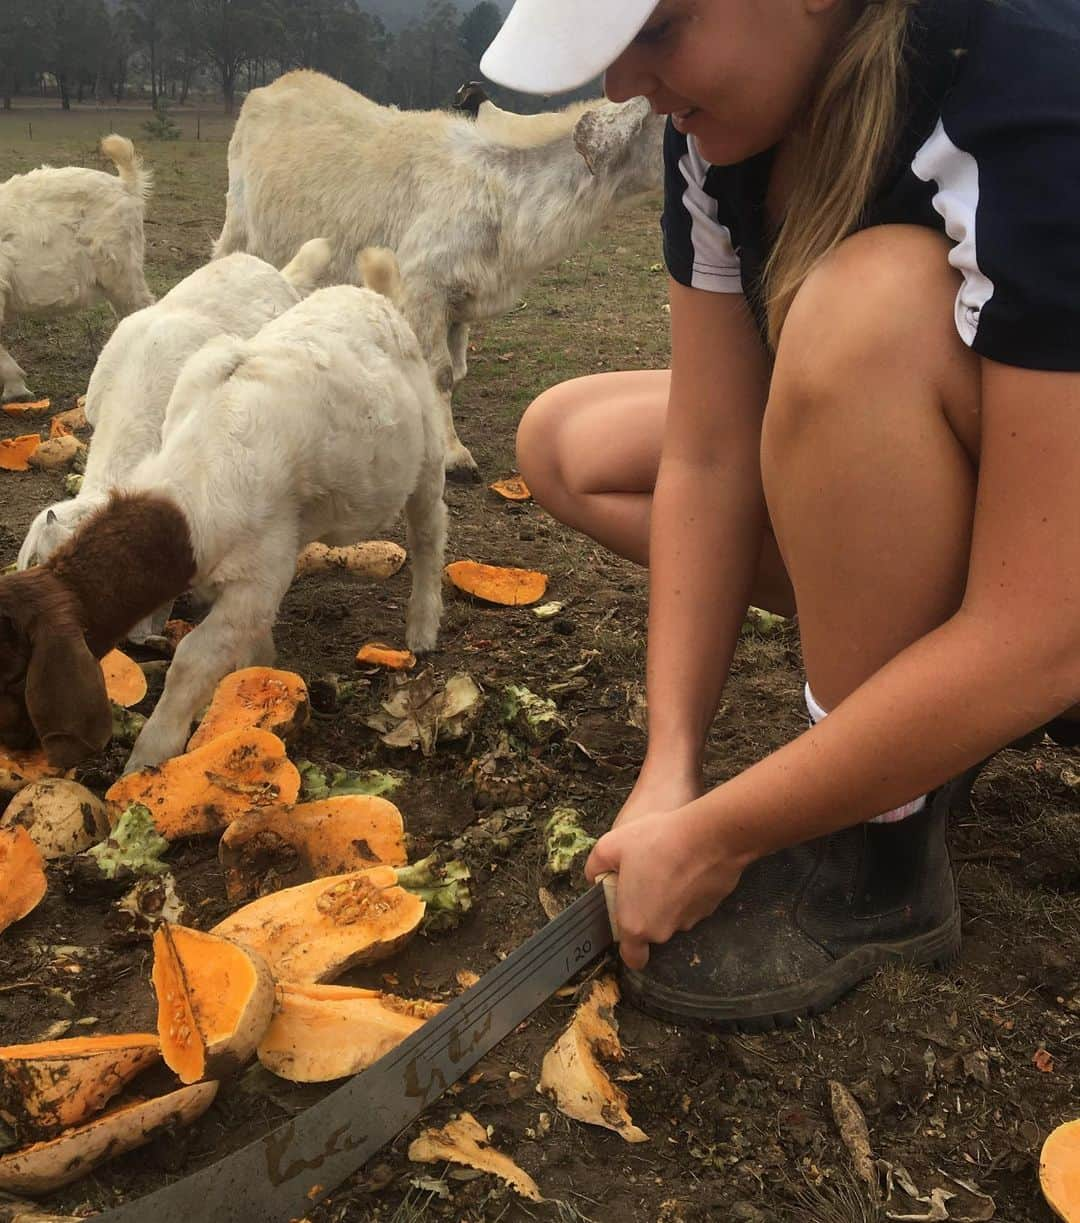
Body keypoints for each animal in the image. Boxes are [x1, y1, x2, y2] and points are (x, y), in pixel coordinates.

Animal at [212, 65, 665, 476]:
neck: (505, 194)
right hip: (237, 221)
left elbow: (457, 369)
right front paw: (454, 455)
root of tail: (280, 81)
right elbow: (442, 373)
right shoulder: (422, 287)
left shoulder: (462, 297)